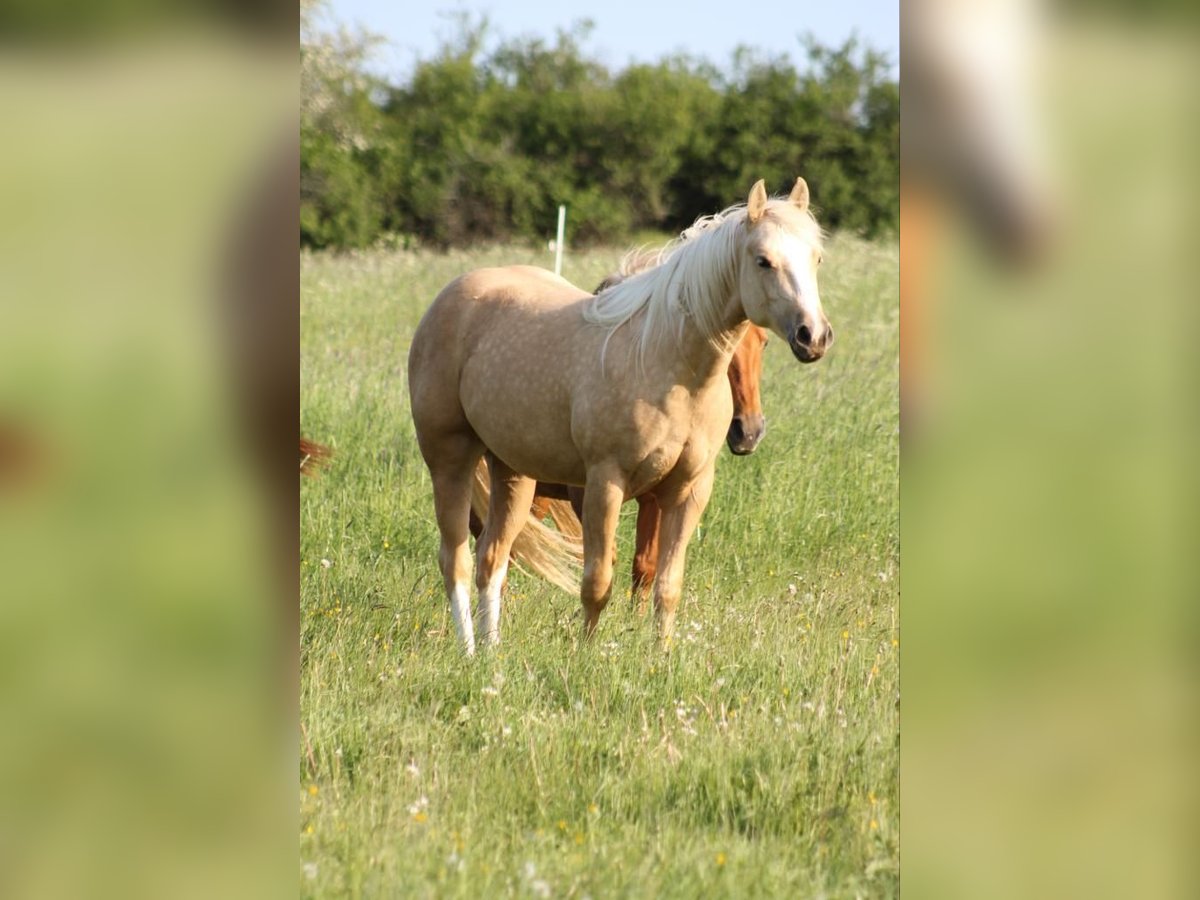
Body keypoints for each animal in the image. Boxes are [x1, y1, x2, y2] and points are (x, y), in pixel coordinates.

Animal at [408, 177, 830, 657]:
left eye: (816, 257)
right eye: (763, 261)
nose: (814, 336)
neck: (667, 363)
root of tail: (452, 296)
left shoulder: (688, 491)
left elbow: (665, 584)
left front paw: (661, 657)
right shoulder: (603, 485)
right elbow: (598, 581)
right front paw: (586, 655)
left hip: (512, 473)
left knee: (492, 559)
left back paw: (493, 653)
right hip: (451, 460)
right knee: (456, 559)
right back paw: (468, 652)